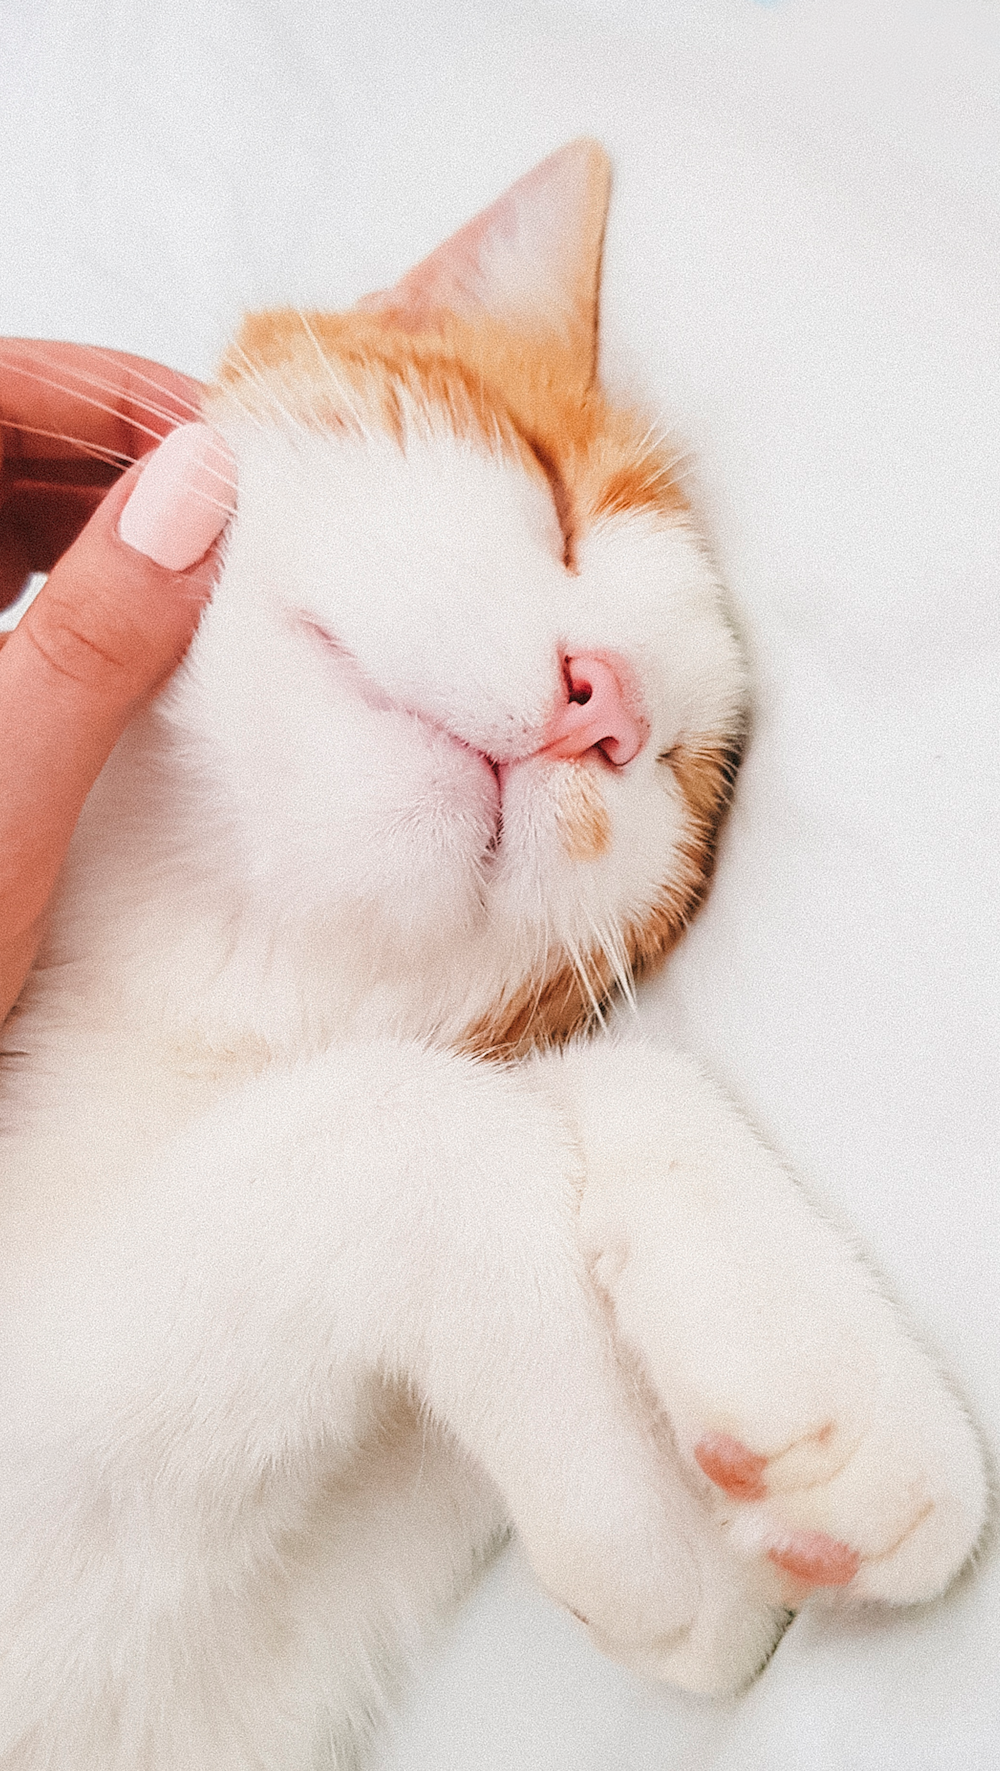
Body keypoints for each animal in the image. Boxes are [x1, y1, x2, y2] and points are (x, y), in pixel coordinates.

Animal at [0, 141, 984, 1771]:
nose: (610, 706)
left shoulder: (188, 1668)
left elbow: (569, 1075)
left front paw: (806, 1373)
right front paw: (650, 1489)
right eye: (549, 489)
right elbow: (402, 1116)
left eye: (688, 777)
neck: (182, 985)